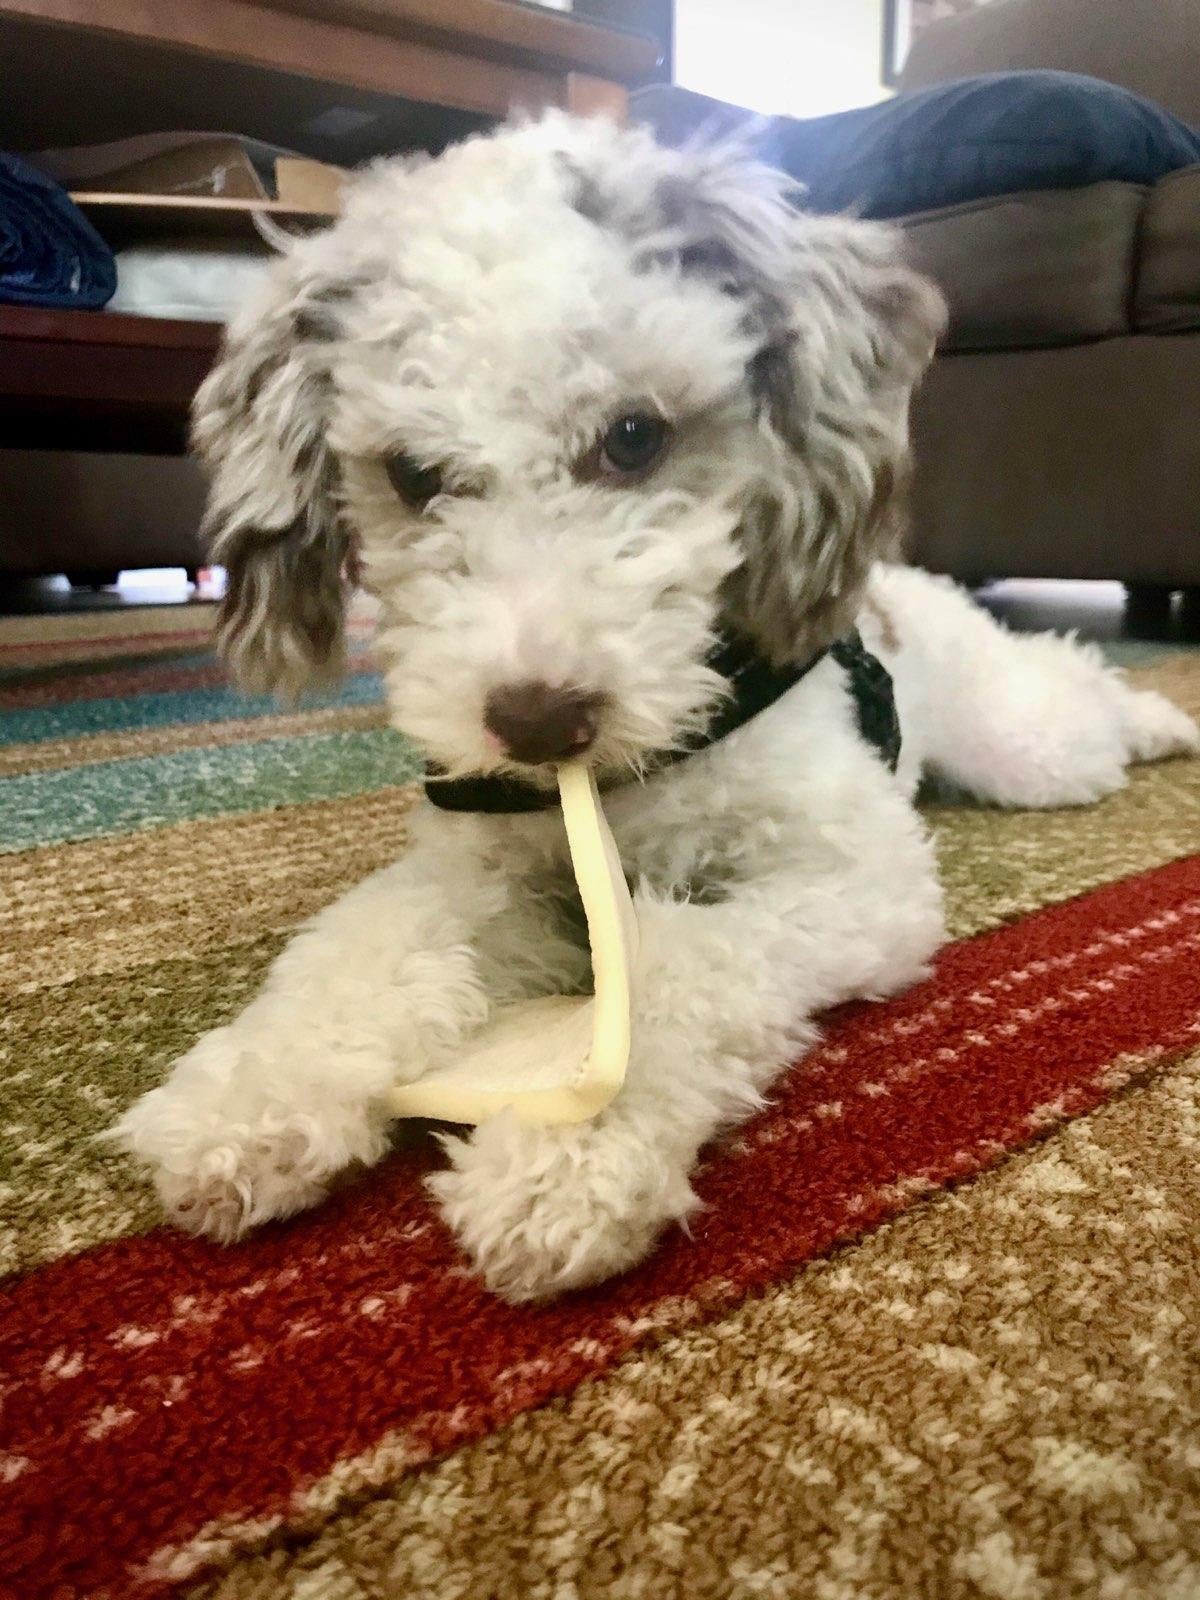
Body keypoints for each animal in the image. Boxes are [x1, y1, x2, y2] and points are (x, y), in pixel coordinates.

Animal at [110, 118, 1196, 1305]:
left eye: (634, 436)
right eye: (412, 473)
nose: (538, 723)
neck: (634, 781)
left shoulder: (854, 880)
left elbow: (682, 965)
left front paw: (568, 1162)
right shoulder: (474, 868)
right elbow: (357, 950)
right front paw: (250, 1101)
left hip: (1024, 745)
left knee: (1077, 680)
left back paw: (1164, 724)